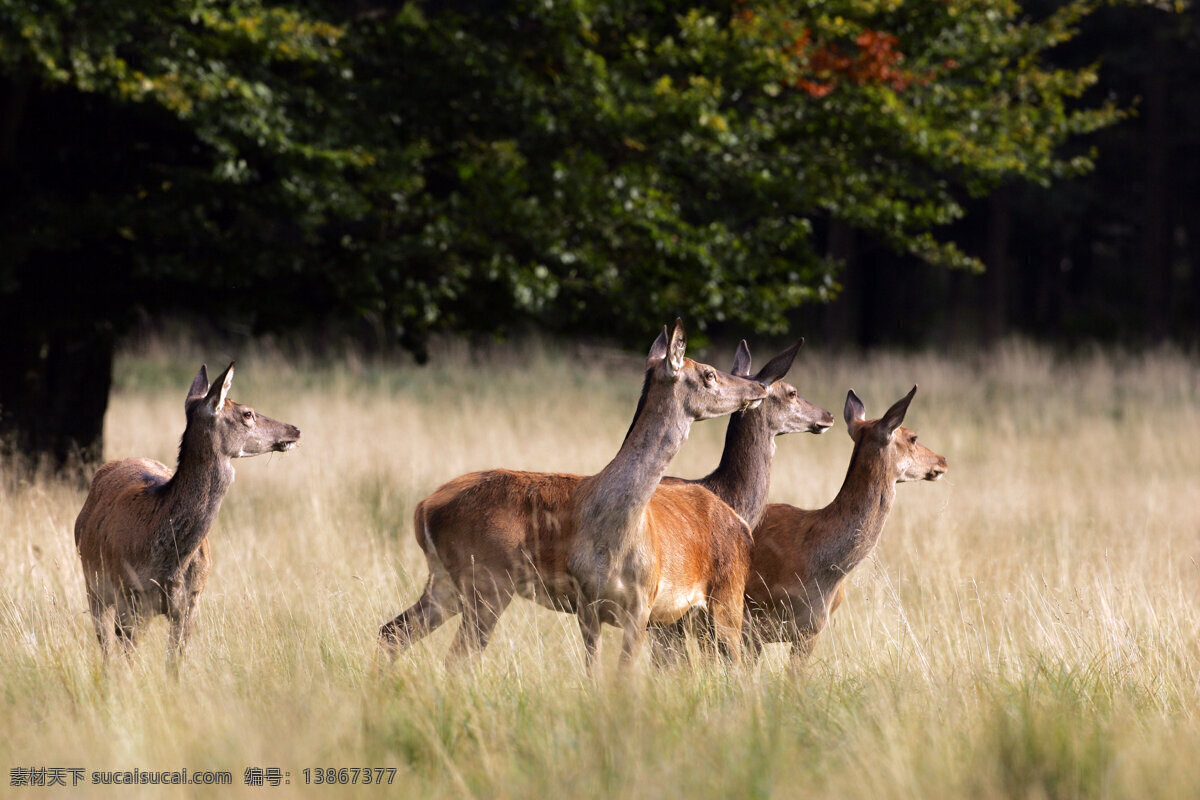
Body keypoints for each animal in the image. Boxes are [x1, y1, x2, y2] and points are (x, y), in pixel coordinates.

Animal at [74, 362, 300, 669]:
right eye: (247, 413)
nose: (295, 429)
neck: (169, 561)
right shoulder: (128, 598)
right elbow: (128, 661)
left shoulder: (191, 601)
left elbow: (174, 665)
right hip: (94, 585)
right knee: (106, 648)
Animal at [379, 320, 770, 670]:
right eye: (708, 373)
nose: (758, 387)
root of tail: (422, 509)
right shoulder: (601, 606)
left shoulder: (633, 607)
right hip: (484, 582)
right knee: (449, 655)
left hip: (449, 582)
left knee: (394, 632)